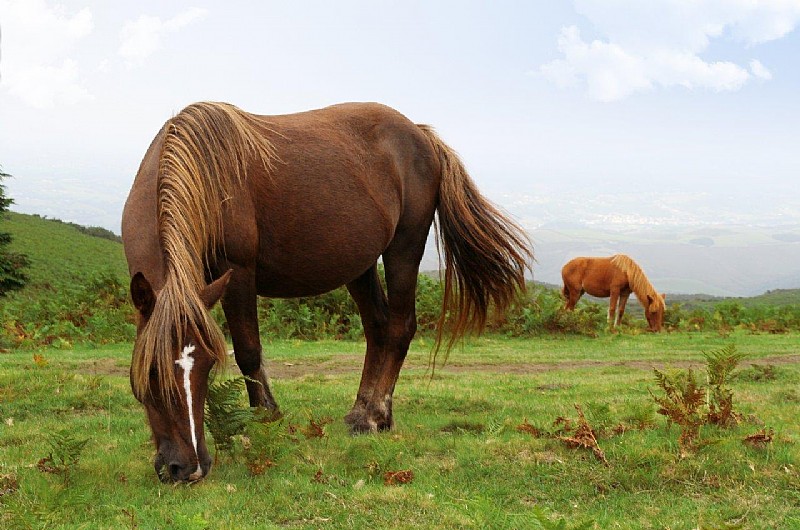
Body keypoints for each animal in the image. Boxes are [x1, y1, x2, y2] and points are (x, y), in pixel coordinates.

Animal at [121, 101, 532, 482]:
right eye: (152, 372)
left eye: (208, 365)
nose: (188, 468)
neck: (204, 172)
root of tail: (421, 135)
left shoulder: (237, 272)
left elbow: (248, 351)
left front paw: (265, 419)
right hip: (360, 265)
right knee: (378, 328)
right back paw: (365, 411)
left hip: (404, 247)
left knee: (400, 328)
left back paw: (373, 416)